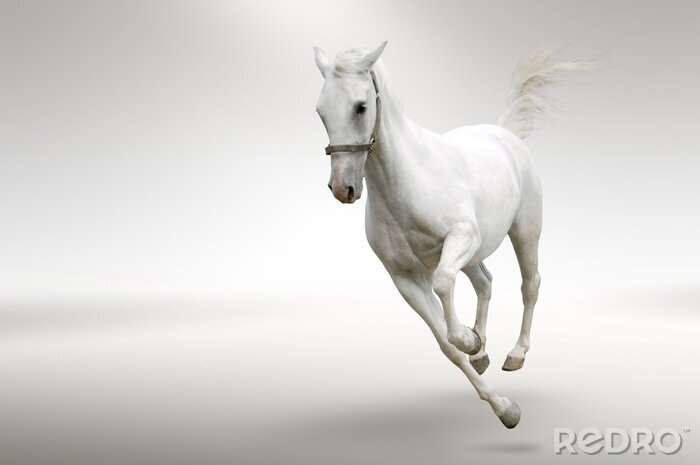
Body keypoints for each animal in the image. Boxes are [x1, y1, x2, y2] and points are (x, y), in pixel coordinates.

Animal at [313, 41, 593, 428]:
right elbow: (447, 345)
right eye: (321, 111)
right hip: (476, 254)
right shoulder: (404, 278)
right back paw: (483, 351)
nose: (343, 188)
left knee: (530, 285)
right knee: (486, 283)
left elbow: (444, 285)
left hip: (524, 232)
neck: (408, 181)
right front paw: (503, 405)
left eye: (360, 106)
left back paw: (515, 354)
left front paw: (471, 342)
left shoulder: (461, 238)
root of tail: (505, 133)